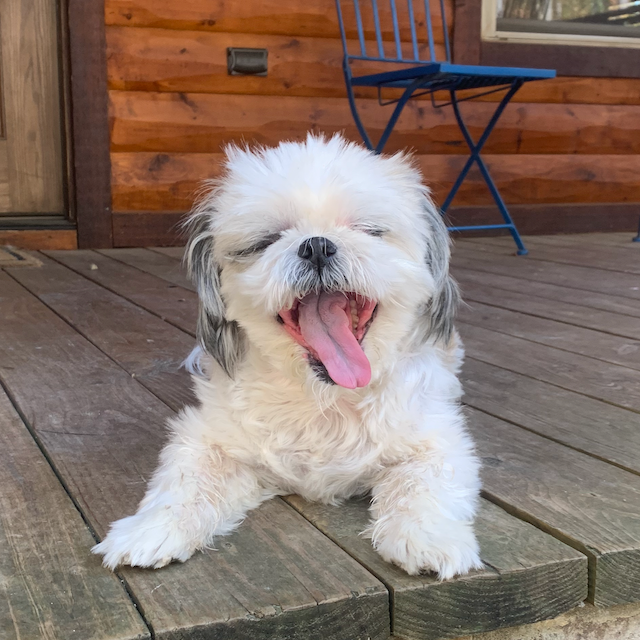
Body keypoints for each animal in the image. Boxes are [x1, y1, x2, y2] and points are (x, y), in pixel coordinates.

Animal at [92, 132, 482, 576]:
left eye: (368, 230)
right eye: (265, 241)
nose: (317, 246)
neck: (323, 397)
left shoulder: (437, 440)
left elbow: (425, 481)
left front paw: (428, 537)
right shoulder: (208, 440)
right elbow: (185, 483)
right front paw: (151, 529)